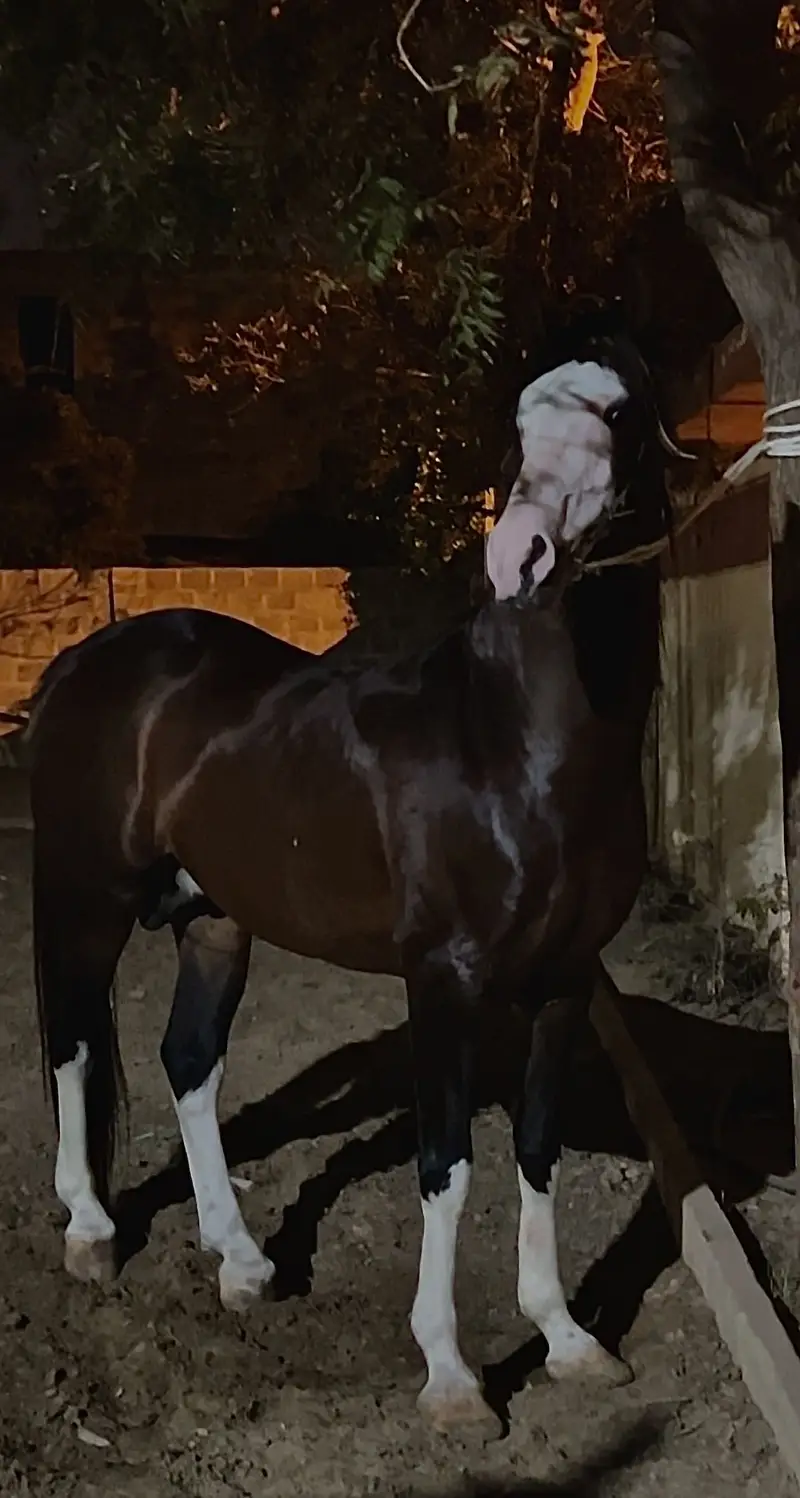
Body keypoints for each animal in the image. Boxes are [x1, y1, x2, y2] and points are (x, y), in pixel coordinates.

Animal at [25, 320, 677, 1438]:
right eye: (518, 424)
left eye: (617, 413)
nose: (519, 554)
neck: (514, 746)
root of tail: (82, 662)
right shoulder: (445, 982)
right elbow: (447, 1166)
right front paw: (452, 1376)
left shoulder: (561, 985)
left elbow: (536, 1149)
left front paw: (565, 1339)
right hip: (90, 899)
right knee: (72, 1046)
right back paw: (92, 1232)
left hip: (214, 920)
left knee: (188, 1062)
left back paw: (242, 1260)